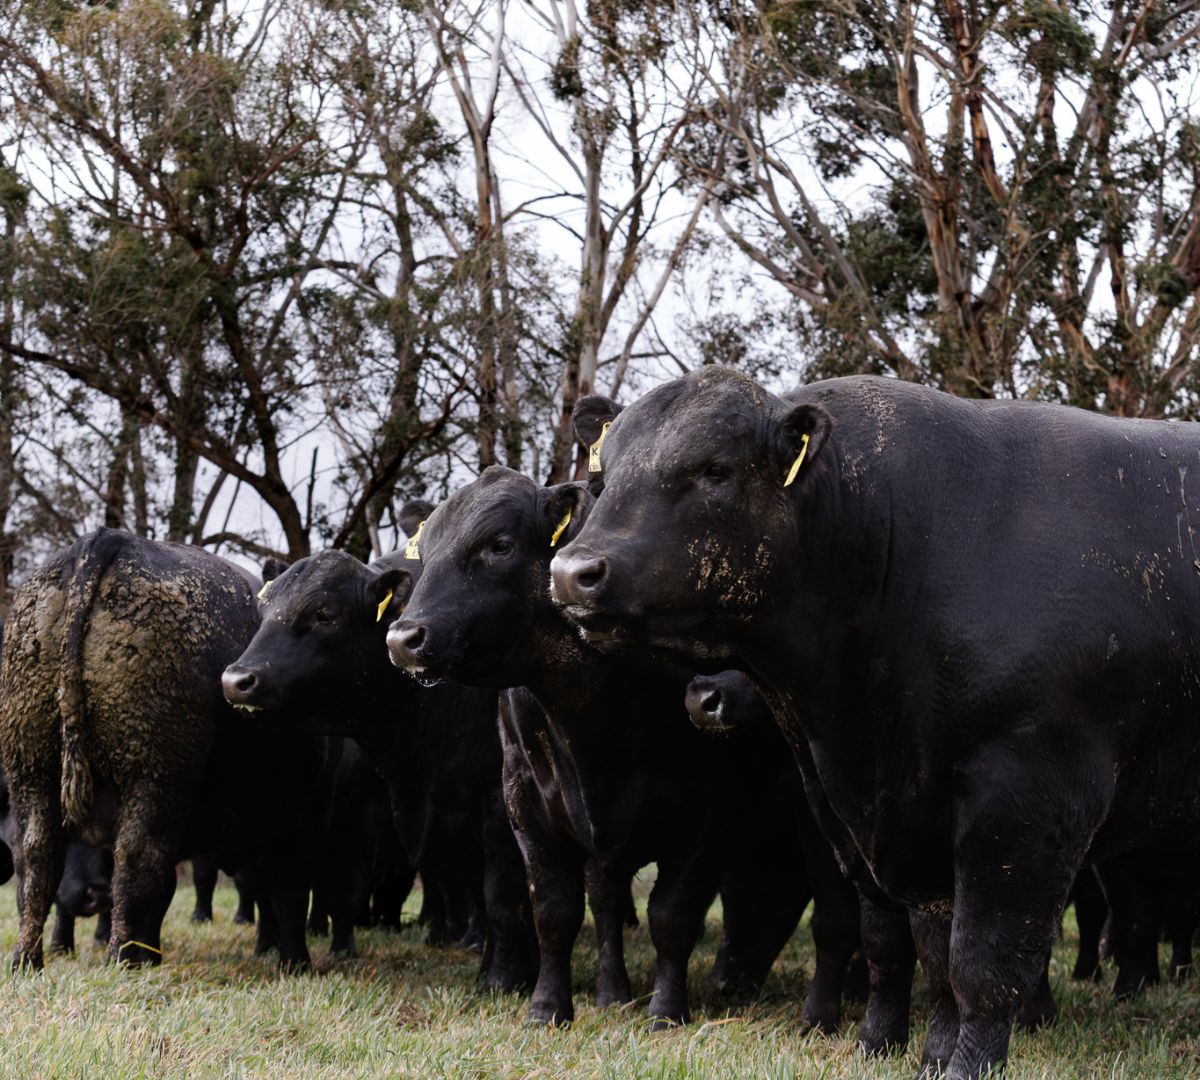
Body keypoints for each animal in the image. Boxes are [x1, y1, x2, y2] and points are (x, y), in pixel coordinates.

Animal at [0, 528, 325, 971]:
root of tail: (107, 539)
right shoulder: (297, 816)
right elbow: (287, 893)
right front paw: (296, 962)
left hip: (30, 770)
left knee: (36, 859)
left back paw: (28, 958)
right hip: (153, 776)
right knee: (137, 859)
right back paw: (123, 958)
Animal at [220, 541, 538, 992]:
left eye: (325, 613)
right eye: (264, 610)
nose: (236, 680)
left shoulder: (500, 799)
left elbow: (502, 895)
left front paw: (504, 978)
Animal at [549, 368, 1200, 1079]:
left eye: (715, 469)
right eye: (604, 476)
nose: (574, 572)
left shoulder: (1028, 799)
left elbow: (983, 967)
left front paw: (967, 1066)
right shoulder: (878, 818)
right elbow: (906, 948)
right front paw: (895, 1050)